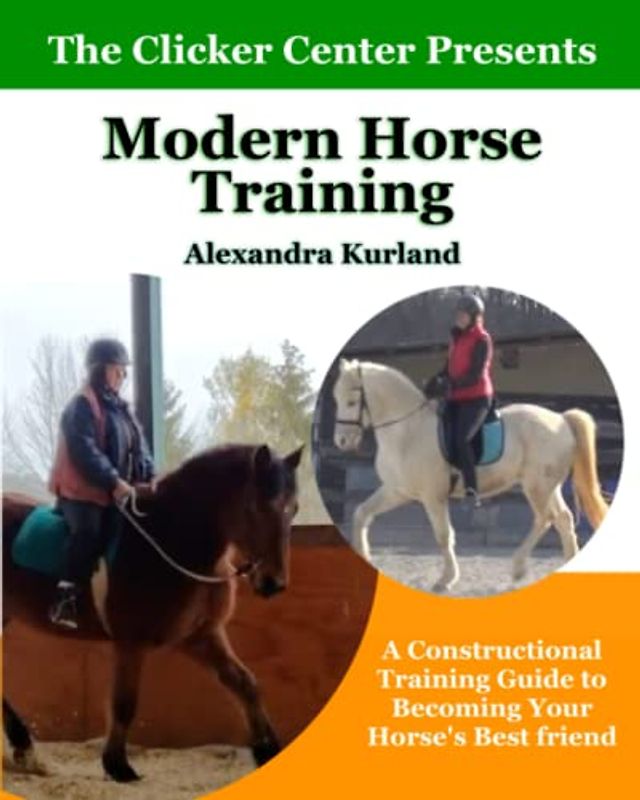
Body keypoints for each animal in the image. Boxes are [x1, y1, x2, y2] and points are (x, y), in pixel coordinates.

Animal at [2, 442, 303, 783]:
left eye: (293, 509)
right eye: (255, 507)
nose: (273, 583)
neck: (170, 540)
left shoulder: (201, 635)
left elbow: (245, 683)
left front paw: (268, 749)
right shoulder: (131, 642)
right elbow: (124, 703)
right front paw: (118, 765)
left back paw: (23, 746)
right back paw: (23, 745)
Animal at [331, 359, 609, 591]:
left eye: (351, 402)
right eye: (336, 399)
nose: (341, 441)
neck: (407, 431)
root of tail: (560, 418)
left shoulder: (433, 497)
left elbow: (444, 536)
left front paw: (446, 579)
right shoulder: (396, 491)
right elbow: (361, 514)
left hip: (536, 487)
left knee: (545, 519)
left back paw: (518, 568)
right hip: (549, 487)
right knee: (563, 518)